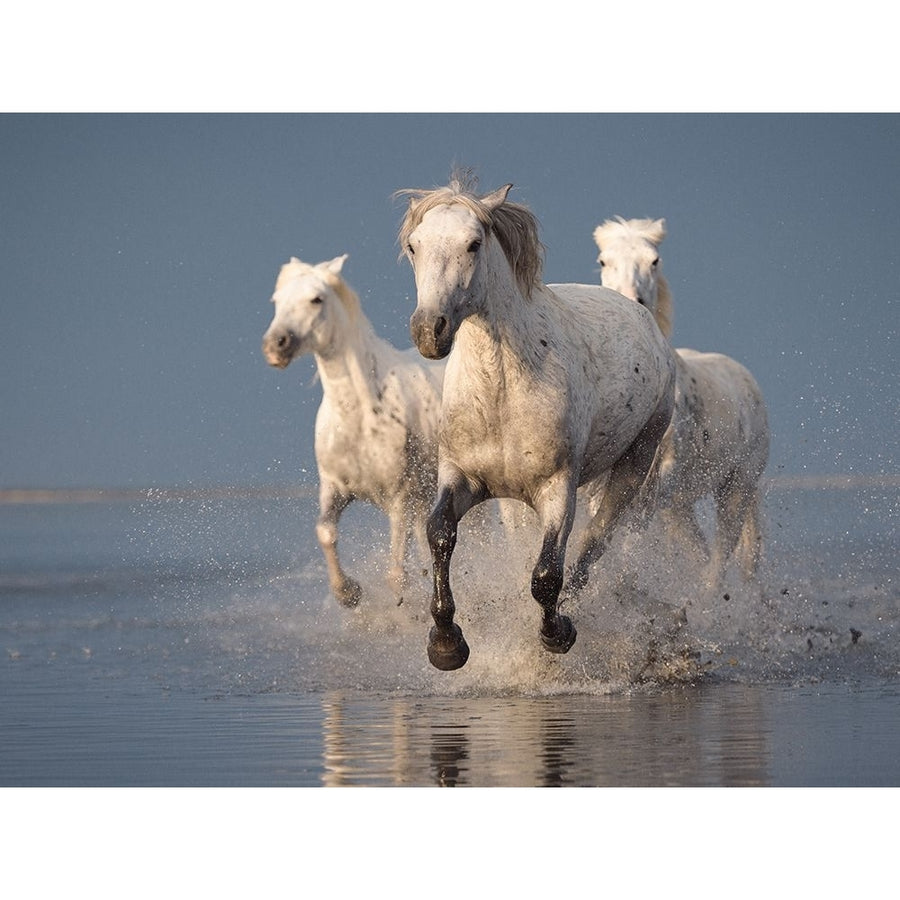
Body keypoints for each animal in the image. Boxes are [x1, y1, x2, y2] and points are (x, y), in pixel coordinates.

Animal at [260, 256, 442, 608]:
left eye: (316, 299)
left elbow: (397, 576)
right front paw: (348, 593)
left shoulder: (401, 498)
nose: (275, 346)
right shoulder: (335, 488)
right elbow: (325, 532)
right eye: (276, 301)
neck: (359, 418)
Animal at [400, 174, 676, 668]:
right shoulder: (462, 478)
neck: (501, 394)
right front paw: (447, 644)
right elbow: (439, 534)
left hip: (635, 462)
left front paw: (557, 634)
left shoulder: (558, 488)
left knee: (594, 544)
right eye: (415, 245)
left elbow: (546, 574)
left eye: (473, 244)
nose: (430, 330)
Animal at [592, 218, 772, 592]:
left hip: (736, 489)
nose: (632, 303)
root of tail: (748, 382)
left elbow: (629, 532)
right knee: (704, 555)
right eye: (603, 260)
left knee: (720, 561)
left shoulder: (662, 476)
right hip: (681, 509)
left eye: (654, 260)